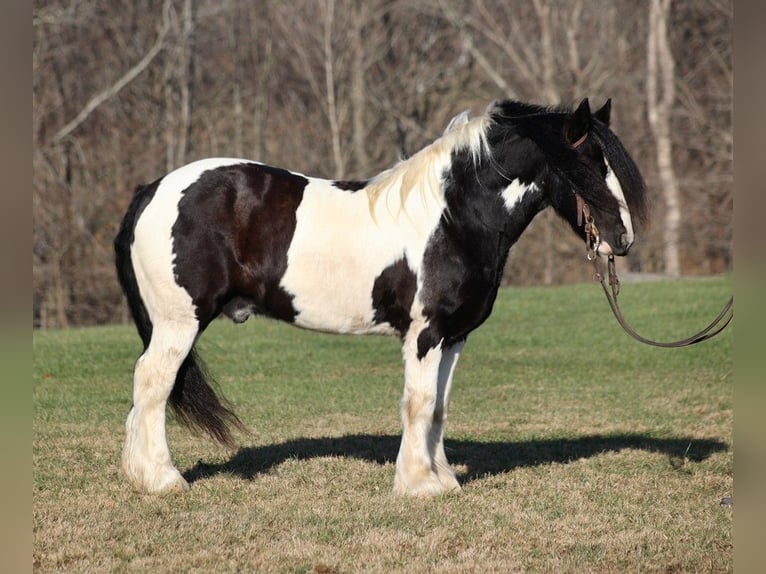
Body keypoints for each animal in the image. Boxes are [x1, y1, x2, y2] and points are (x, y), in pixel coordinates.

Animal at [115, 97, 648, 498]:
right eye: (591, 166)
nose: (622, 239)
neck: (454, 217)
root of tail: (152, 189)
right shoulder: (424, 335)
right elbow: (417, 403)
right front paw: (417, 486)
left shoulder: (453, 336)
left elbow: (439, 407)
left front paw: (444, 479)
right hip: (179, 322)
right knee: (152, 383)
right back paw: (162, 480)